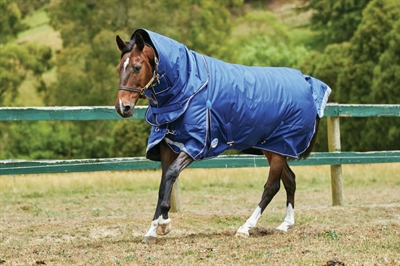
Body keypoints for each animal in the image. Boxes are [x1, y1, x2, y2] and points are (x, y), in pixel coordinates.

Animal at [113, 28, 332, 243]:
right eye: (118, 68)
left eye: (137, 67)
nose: (123, 107)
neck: (187, 87)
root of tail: (307, 83)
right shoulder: (167, 145)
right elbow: (163, 184)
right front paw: (152, 230)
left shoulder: (195, 144)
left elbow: (171, 175)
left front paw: (164, 223)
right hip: (274, 147)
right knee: (290, 180)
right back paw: (285, 225)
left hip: (280, 146)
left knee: (272, 186)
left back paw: (245, 227)